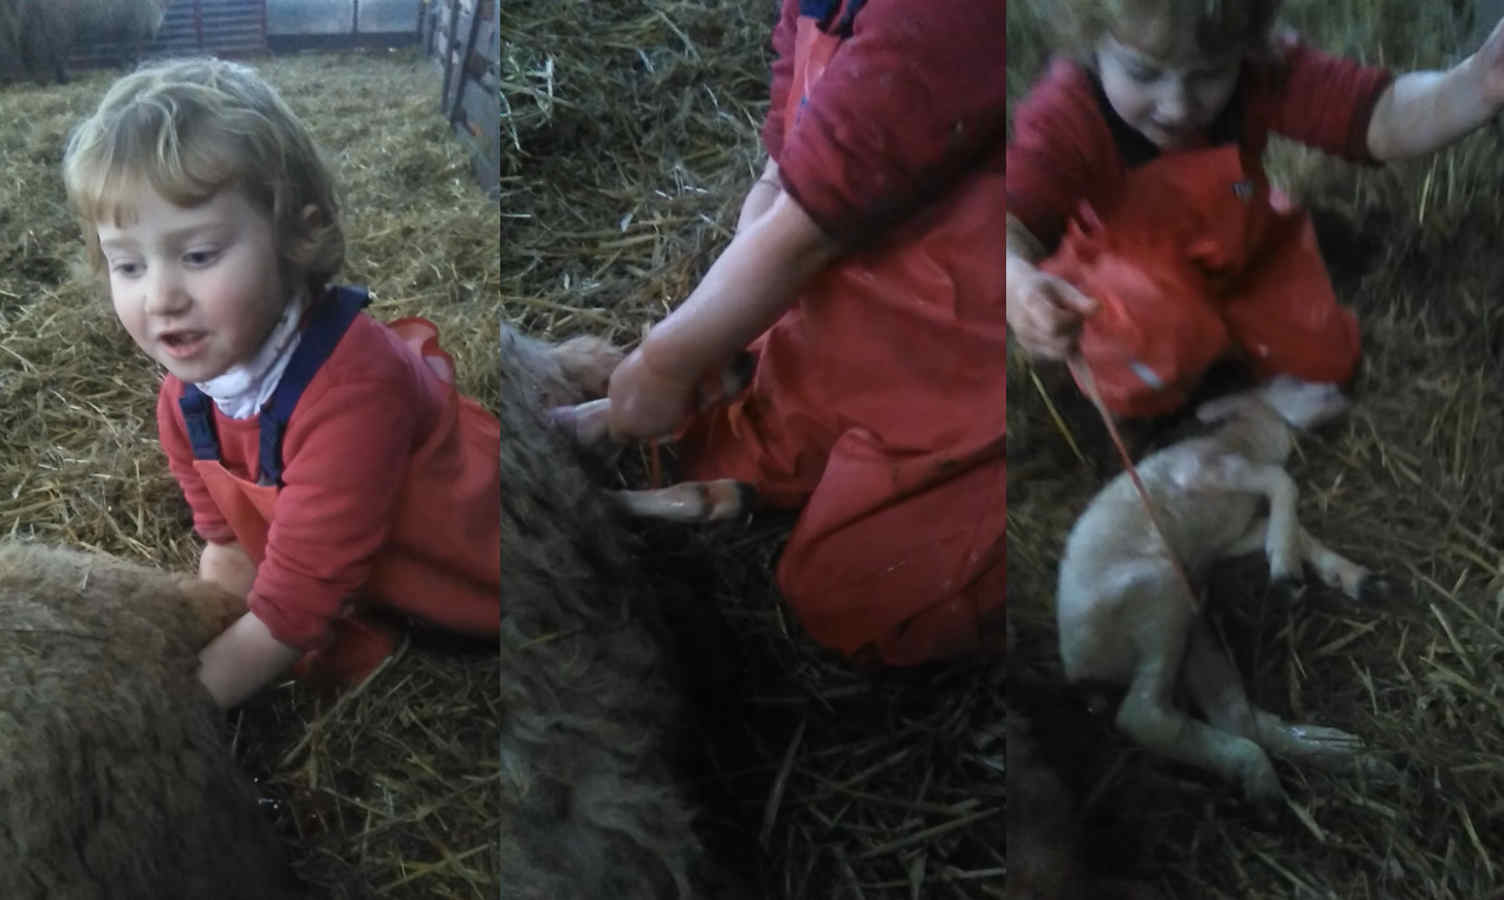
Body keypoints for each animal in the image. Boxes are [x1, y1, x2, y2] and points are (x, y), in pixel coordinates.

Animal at [1052, 373, 1389, 812]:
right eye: (1294, 381)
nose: (1343, 392)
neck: (1246, 439)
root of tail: (1080, 668)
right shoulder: (1208, 472)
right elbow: (1284, 484)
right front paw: (1286, 570)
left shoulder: (1232, 534)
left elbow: (1289, 525)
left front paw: (1346, 576)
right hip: (1157, 598)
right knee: (1144, 717)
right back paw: (1259, 773)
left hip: (1191, 630)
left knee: (1233, 715)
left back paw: (1343, 754)